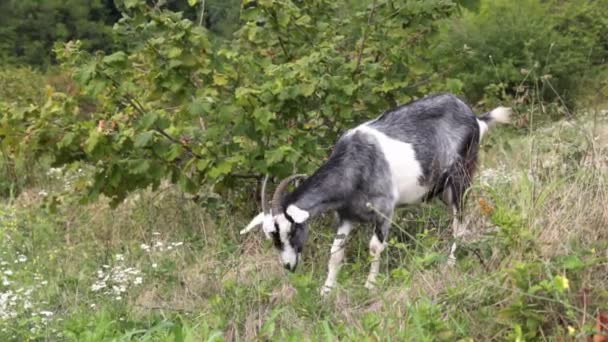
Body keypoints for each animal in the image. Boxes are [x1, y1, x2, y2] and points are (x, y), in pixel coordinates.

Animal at [240, 93, 510, 294]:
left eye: (292, 230)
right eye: (270, 236)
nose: (288, 265)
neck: (355, 164)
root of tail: (474, 117)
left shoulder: (384, 210)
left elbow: (374, 248)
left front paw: (370, 286)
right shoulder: (346, 215)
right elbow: (335, 253)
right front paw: (327, 290)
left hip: (460, 178)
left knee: (459, 221)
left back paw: (451, 263)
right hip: (442, 189)